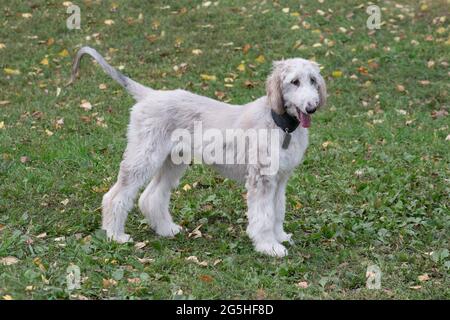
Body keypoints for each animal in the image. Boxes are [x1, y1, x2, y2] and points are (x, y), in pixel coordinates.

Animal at [68, 46, 326, 258]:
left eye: (313, 80)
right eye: (294, 82)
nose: (312, 107)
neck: (279, 122)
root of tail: (151, 94)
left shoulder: (280, 179)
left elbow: (277, 211)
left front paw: (280, 237)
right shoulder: (261, 179)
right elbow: (263, 216)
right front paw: (268, 246)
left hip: (172, 162)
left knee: (151, 196)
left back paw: (166, 229)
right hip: (144, 156)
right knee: (115, 196)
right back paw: (114, 235)